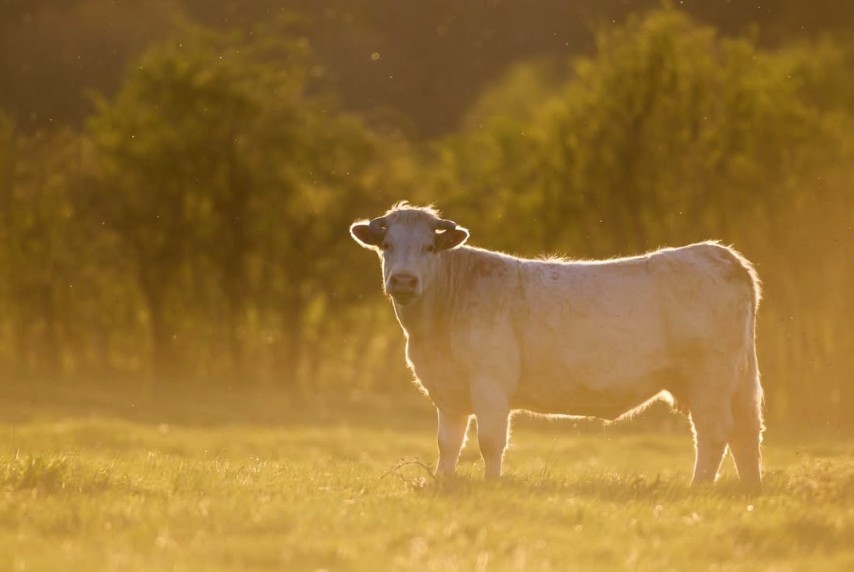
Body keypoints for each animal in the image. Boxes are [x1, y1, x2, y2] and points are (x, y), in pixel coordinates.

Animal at [350, 202, 764, 485]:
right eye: (386, 244)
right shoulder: (449, 393)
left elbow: (490, 441)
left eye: (430, 248)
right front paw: (444, 483)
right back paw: (747, 490)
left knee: (714, 433)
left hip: (710, 378)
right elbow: (448, 444)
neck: (434, 331)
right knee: (746, 433)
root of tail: (718, 252)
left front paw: (491, 485)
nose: (403, 281)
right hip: (736, 380)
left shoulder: (490, 384)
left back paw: (699, 487)